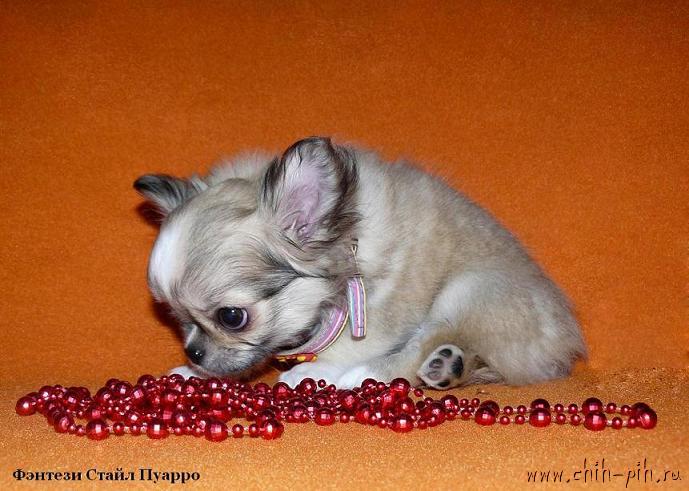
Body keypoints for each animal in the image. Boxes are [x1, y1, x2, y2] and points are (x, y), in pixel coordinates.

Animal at [134, 137, 586, 389]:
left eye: (231, 317)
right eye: (177, 318)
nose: (193, 353)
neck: (346, 239)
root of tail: (564, 342)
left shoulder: (382, 311)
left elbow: (352, 347)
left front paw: (314, 372)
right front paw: (193, 375)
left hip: (471, 289)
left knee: (425, 340)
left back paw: (366, 375)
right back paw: (447, 368)